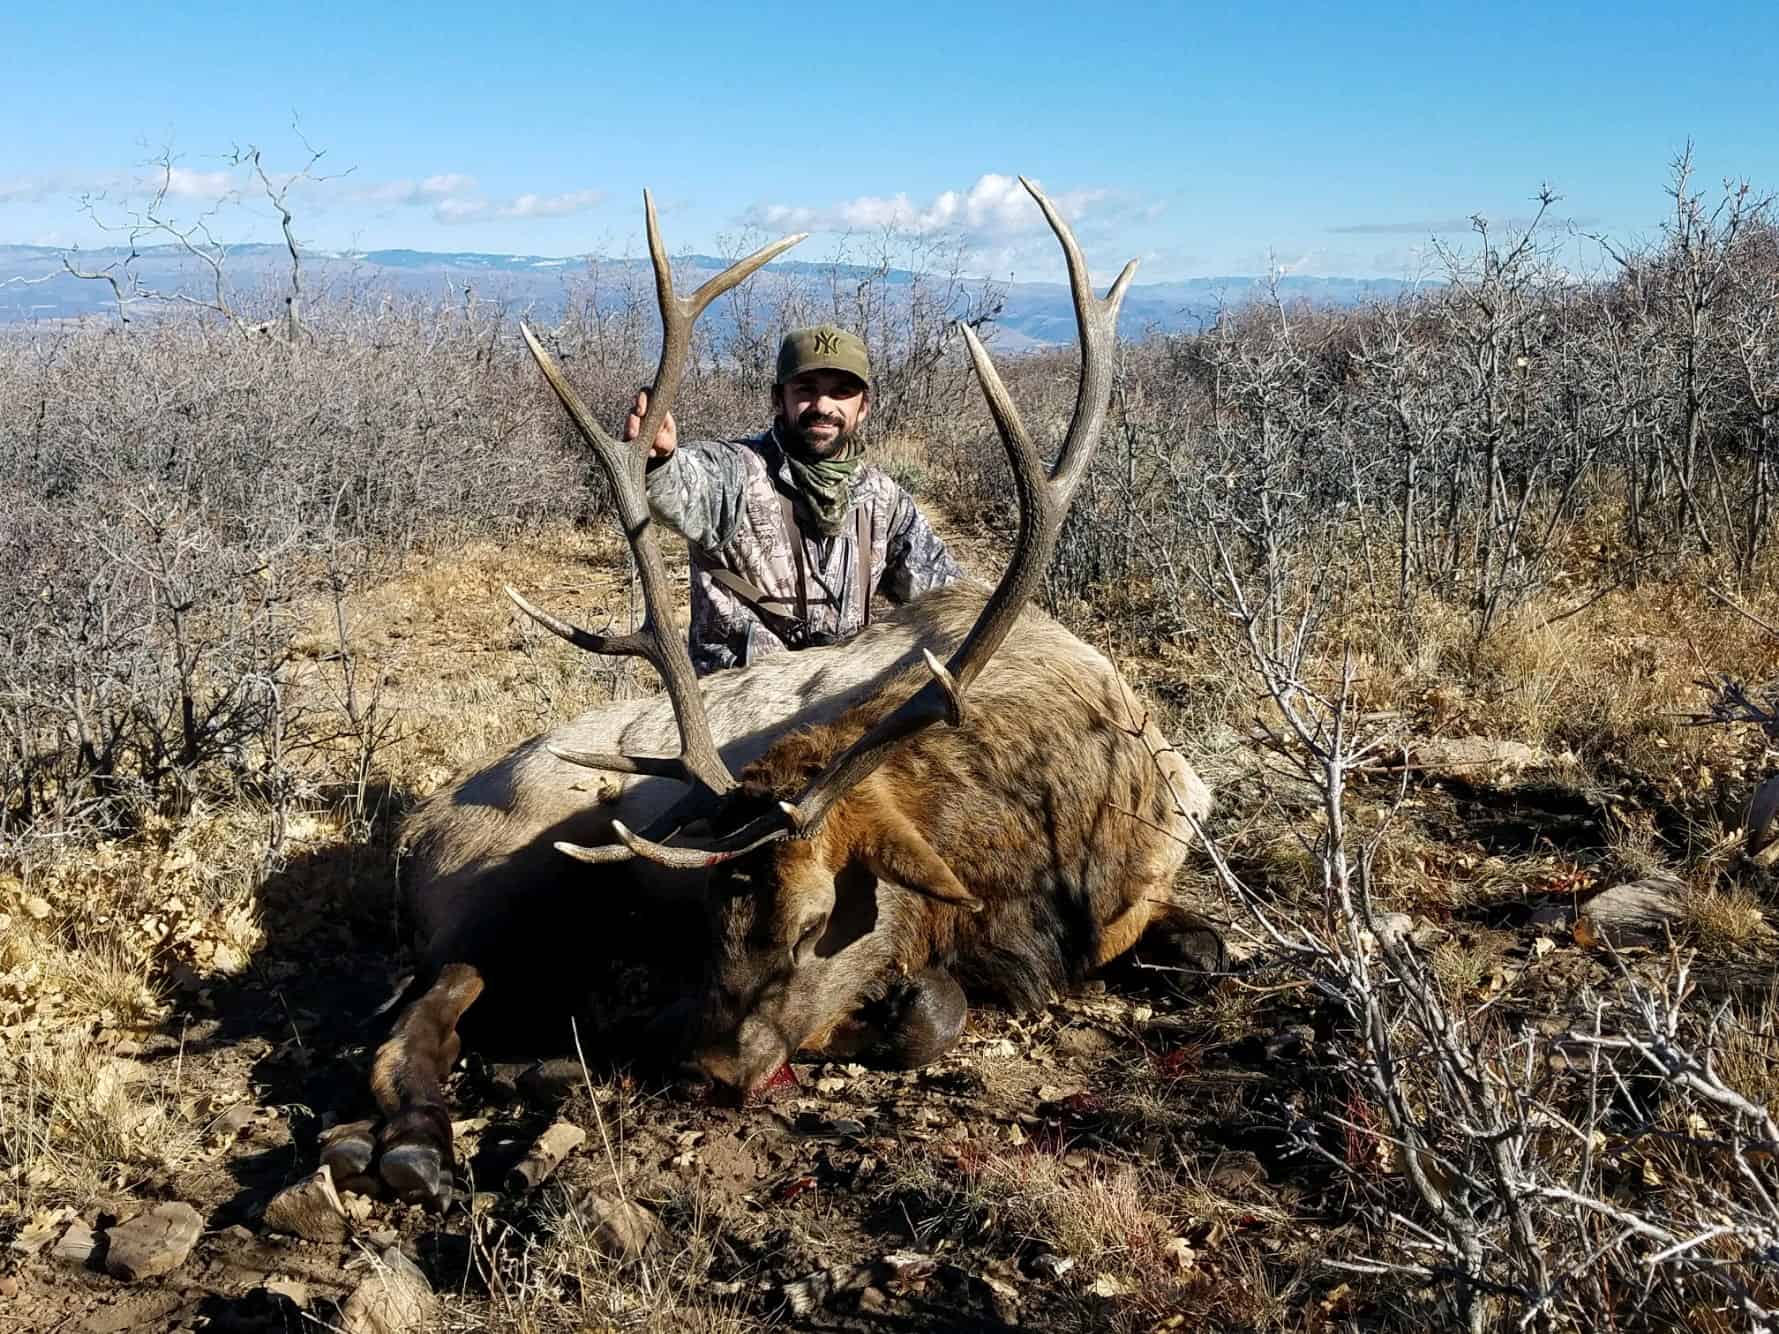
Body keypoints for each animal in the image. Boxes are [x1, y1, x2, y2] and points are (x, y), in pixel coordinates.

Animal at [334, 181, 1218, 1209]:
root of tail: (413, 834)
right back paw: (413, 1143)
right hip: (510, 891)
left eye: (812, 926)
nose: (708, 1071)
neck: (1044, 839)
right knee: (418, 1014)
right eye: (710, 921)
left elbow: (1202, 949)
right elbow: (932, 1009)